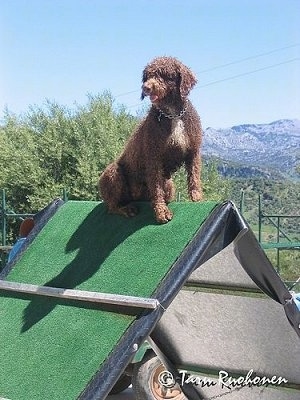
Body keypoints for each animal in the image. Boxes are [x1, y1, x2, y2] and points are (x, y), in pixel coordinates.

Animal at [99, 56, 203, 223]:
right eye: (147, 76)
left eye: (164, 74)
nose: (146, 88)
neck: (172, 114)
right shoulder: (154, 157)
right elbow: (156, 188)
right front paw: (161, 212)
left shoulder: (193, 151)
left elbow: (194, 177)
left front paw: (197, 199)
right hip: (113, 172)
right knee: (112, 206)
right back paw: (126, 209)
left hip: (169, 184)